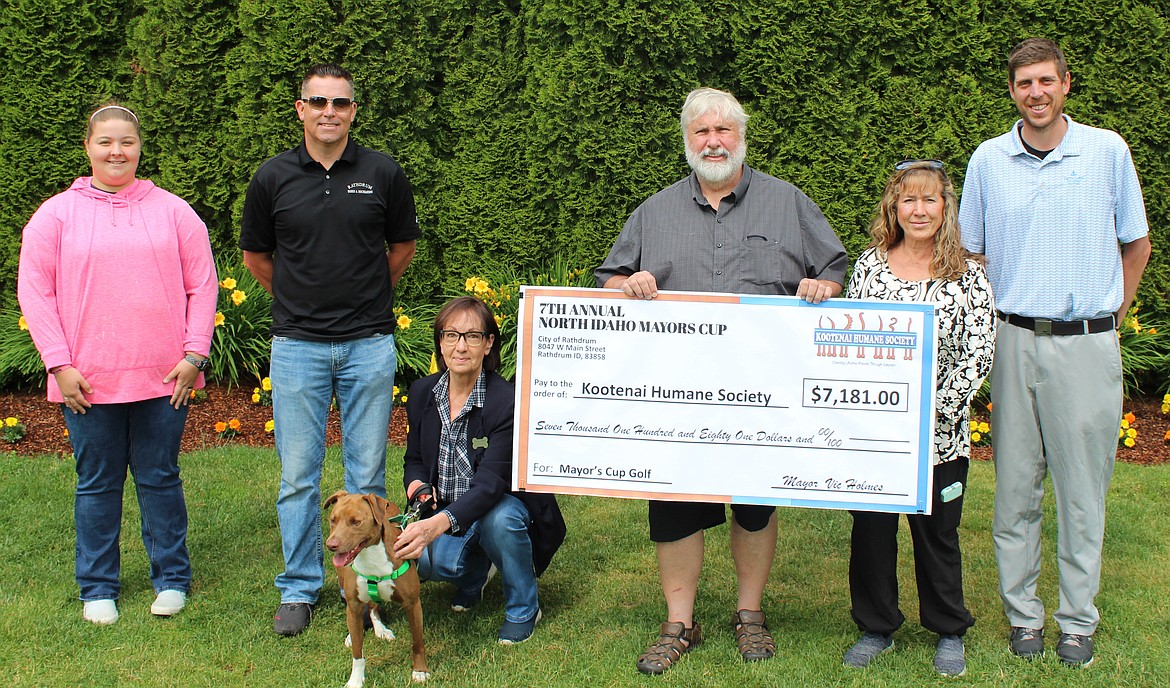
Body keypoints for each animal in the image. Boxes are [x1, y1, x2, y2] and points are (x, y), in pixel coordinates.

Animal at [322, 491, 428, 683]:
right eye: (333, 519)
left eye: (356, 522)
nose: (331, 545)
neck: (370, 556)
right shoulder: (354, 604)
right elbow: (357, 653)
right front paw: (355, 681)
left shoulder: (413, 604)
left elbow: (417, 642)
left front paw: (420, 671)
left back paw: (380, 629)